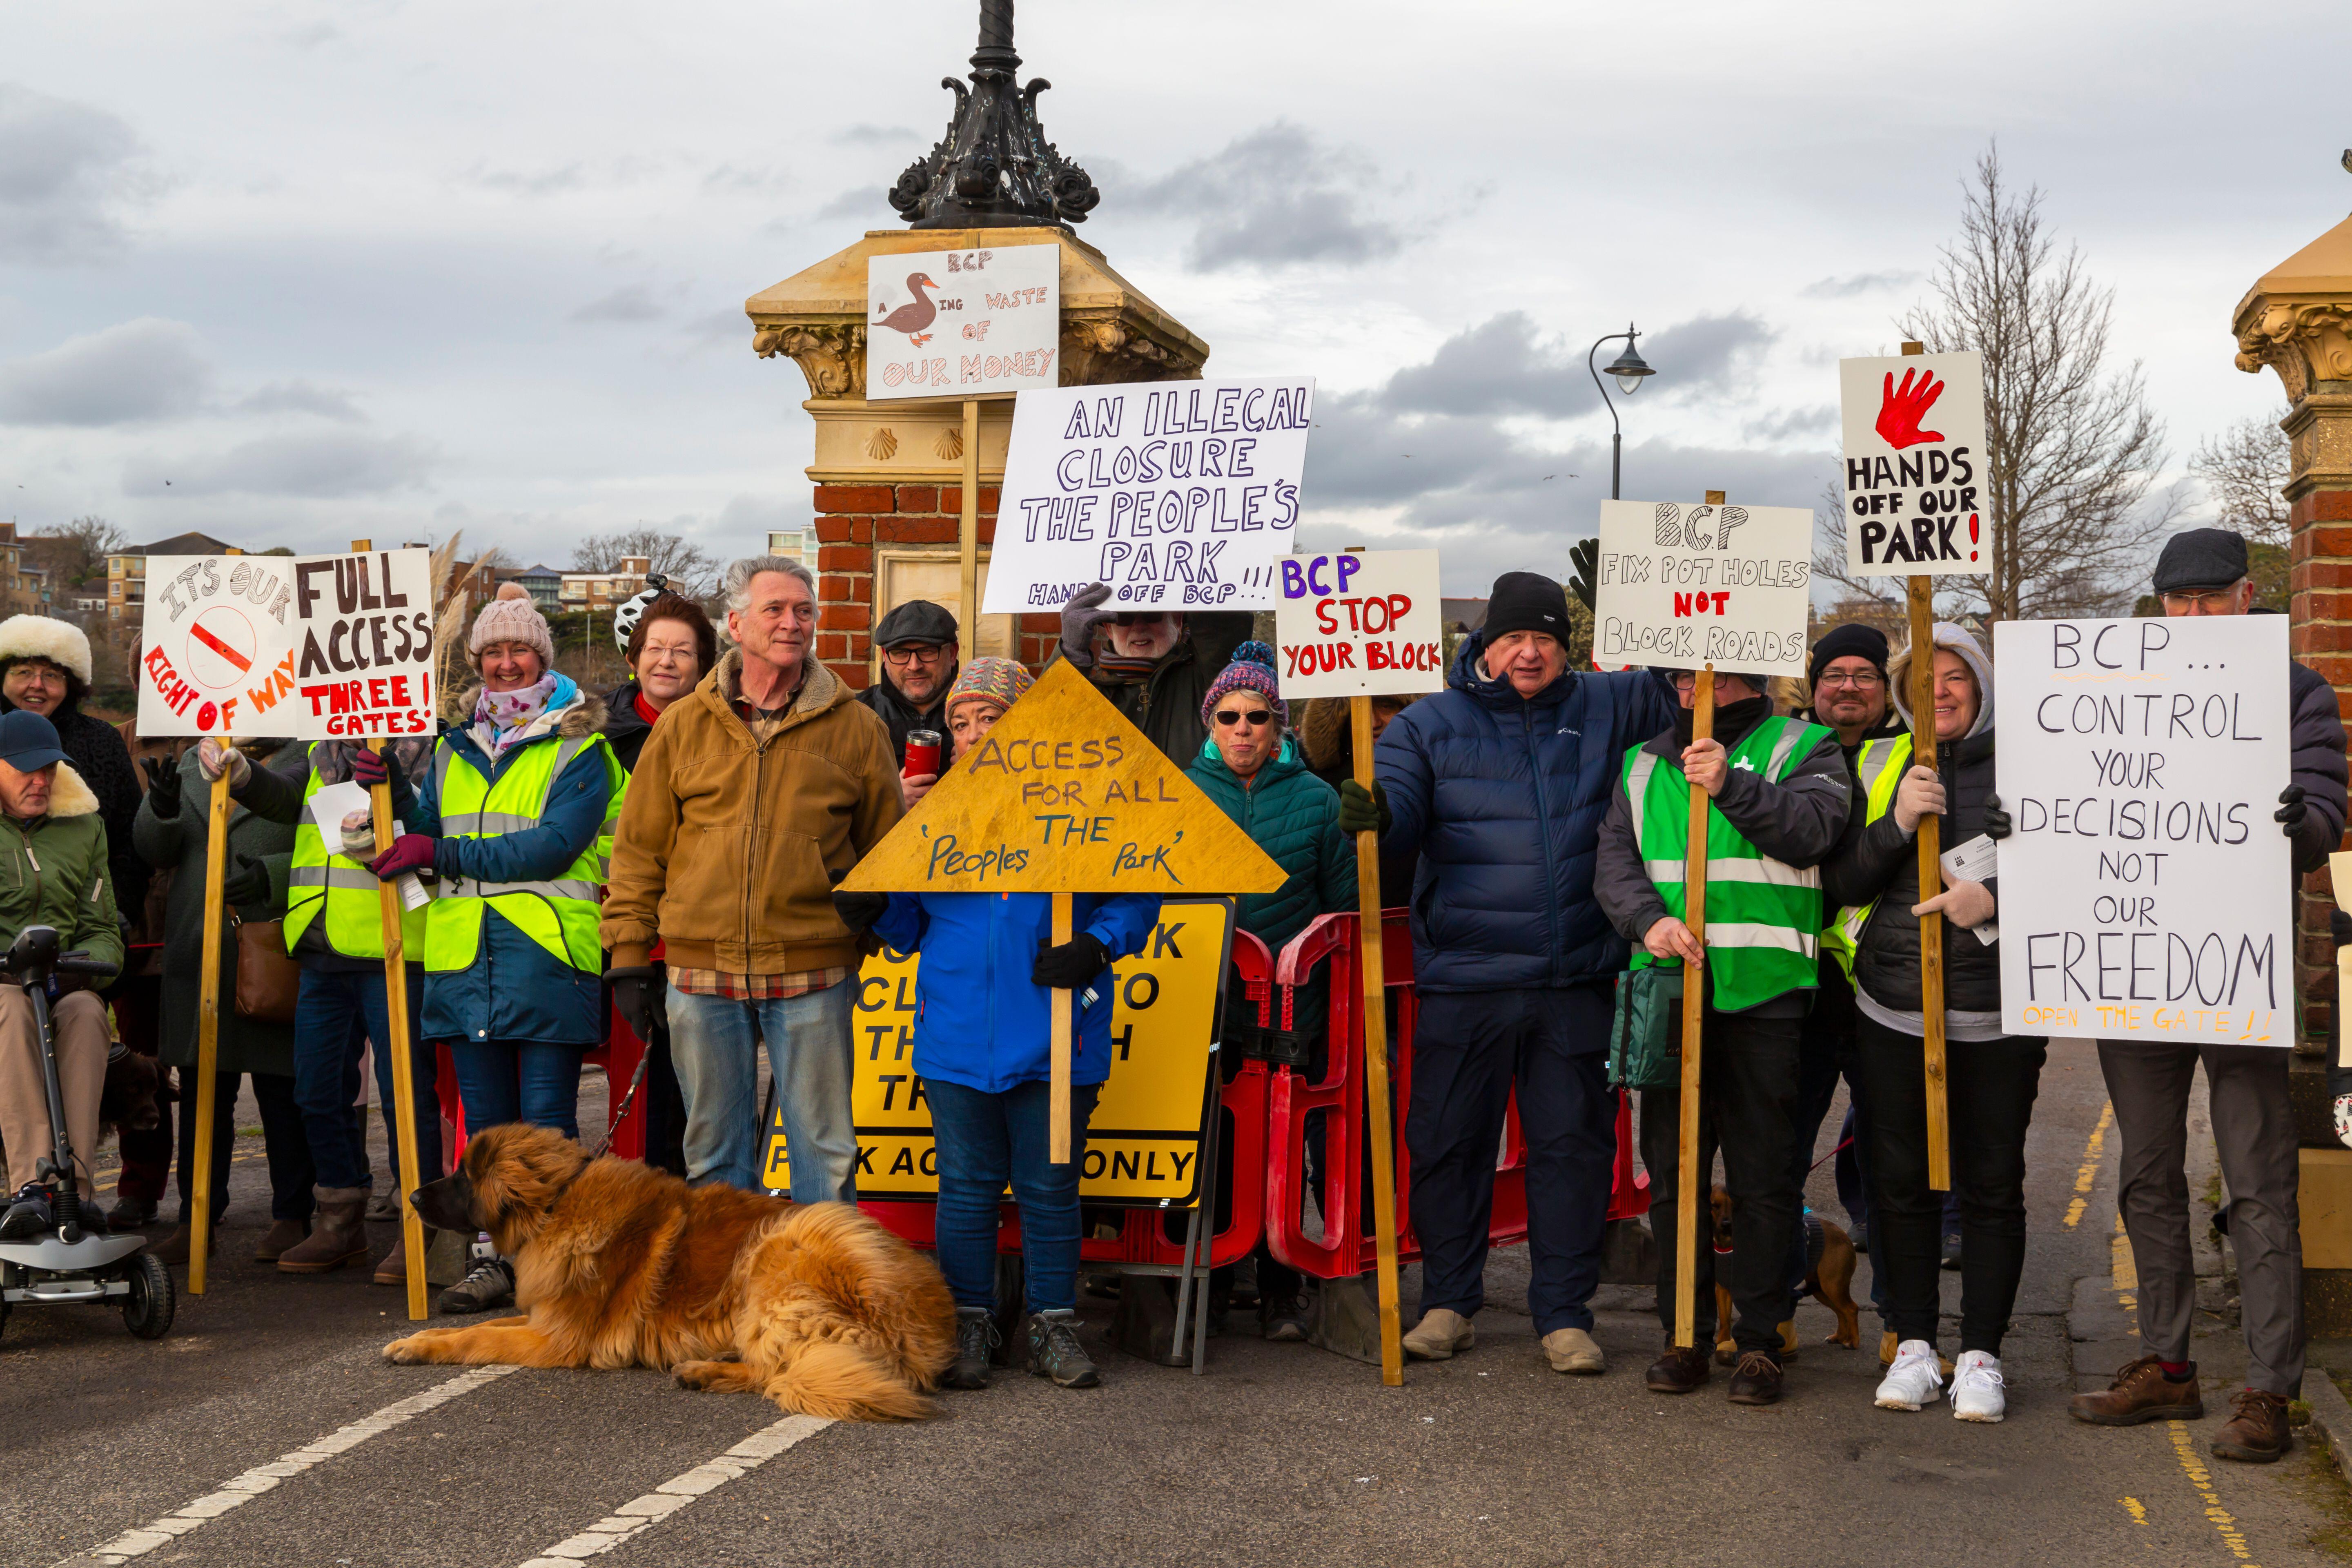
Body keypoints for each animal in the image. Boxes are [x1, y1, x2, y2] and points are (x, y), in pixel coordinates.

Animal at [385, 1128, 955, 1420]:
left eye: (463, 1177)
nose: (410, 1197)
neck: (556, 1203)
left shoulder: (555, 1340)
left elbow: (476, 1337)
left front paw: (423, 1346)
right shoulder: (544, 1319)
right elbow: (479, 1326)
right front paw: (416, 1342)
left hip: (782, 1245)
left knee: (781, 1369)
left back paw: (705, 1371)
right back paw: (712, 1365)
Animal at [1712, 1185, 1853, 1363]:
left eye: (1734, 1206)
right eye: (1715, 1206)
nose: (1726, 1224)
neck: (1729, 1245)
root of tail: (1845, 1235)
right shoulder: (1723, 1290)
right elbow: (1724, 1321)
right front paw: (1722, 1342)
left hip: (1833, 1286)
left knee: (1852, 1309)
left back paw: (1852, 1342)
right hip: (1823, 1290)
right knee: (1841, 1312)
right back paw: (1839, 1337)